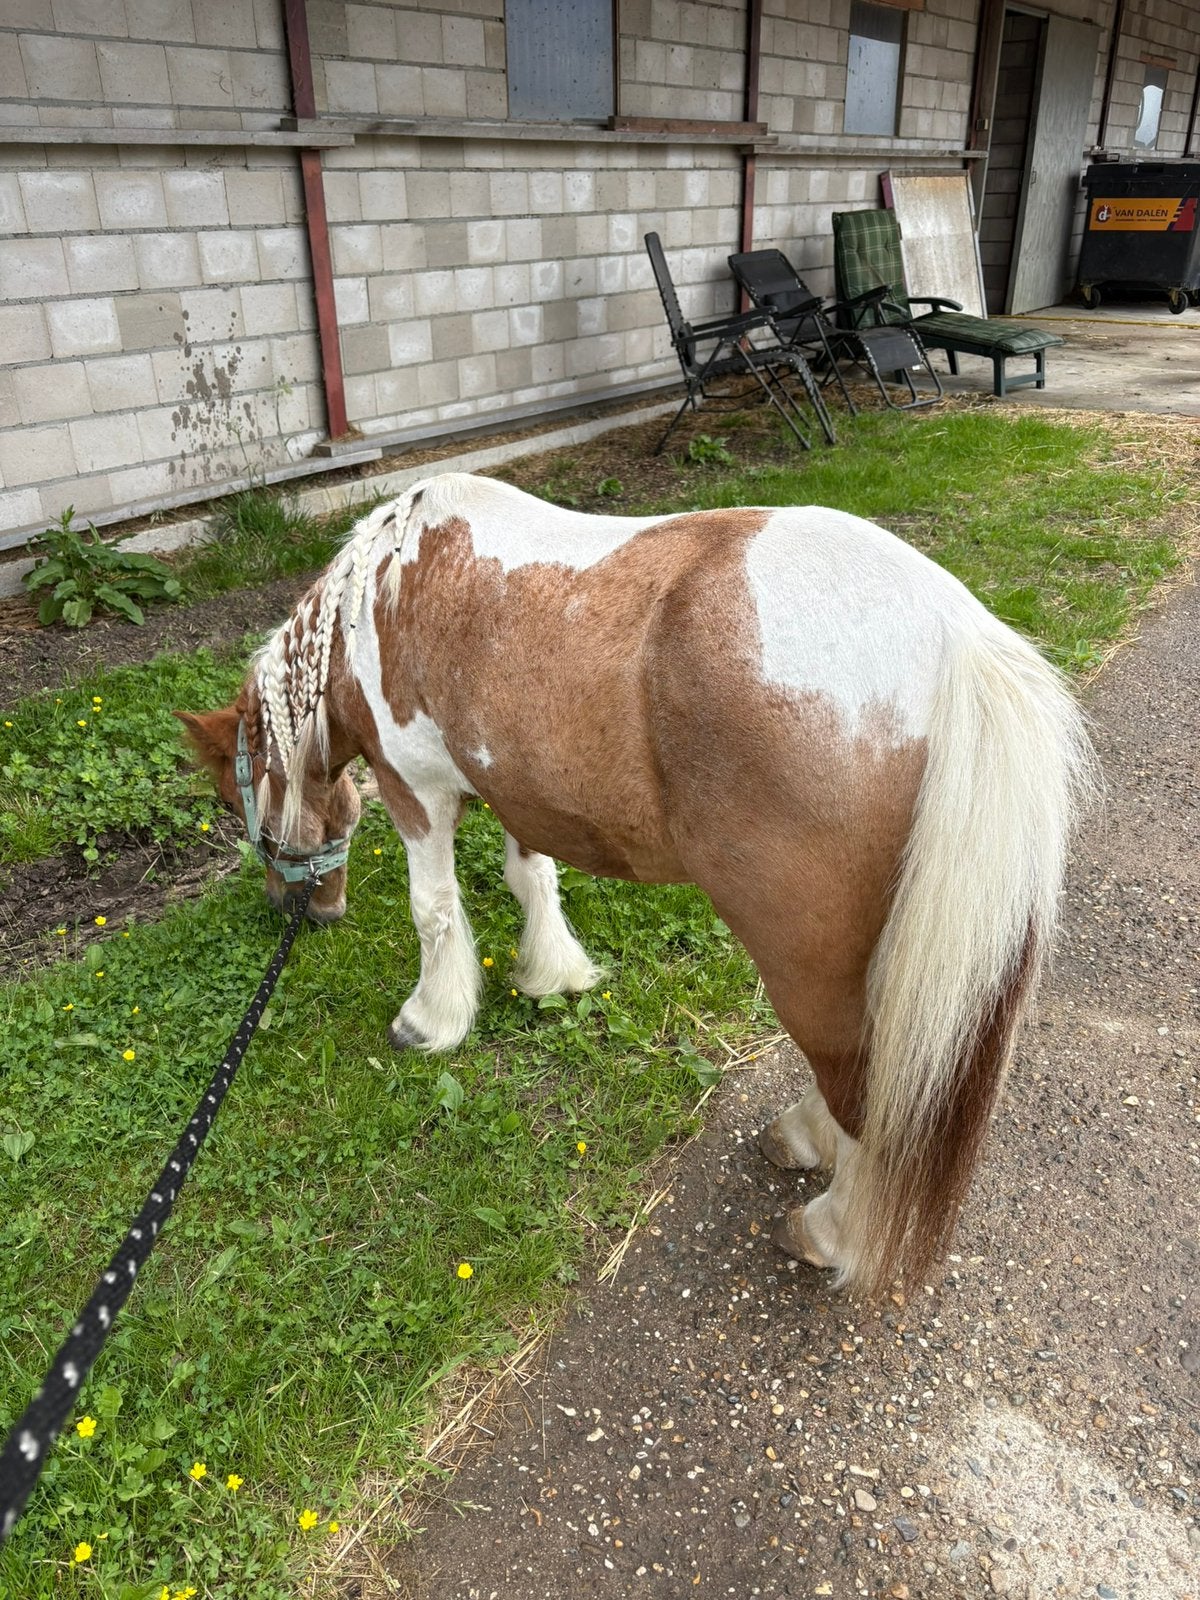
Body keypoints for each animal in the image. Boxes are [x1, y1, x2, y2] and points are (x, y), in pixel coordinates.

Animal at [178, 472, 1093, 1295]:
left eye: (233, 794)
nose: (303, 911)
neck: (381, 597)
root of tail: (955, 637)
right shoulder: (520, 787)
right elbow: (532, 877)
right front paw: (552, 973)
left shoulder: (416, 791)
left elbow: (433, 910)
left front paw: (431, 1020)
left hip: (808, 960)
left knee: (869, 1086)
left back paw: (830, 1227)